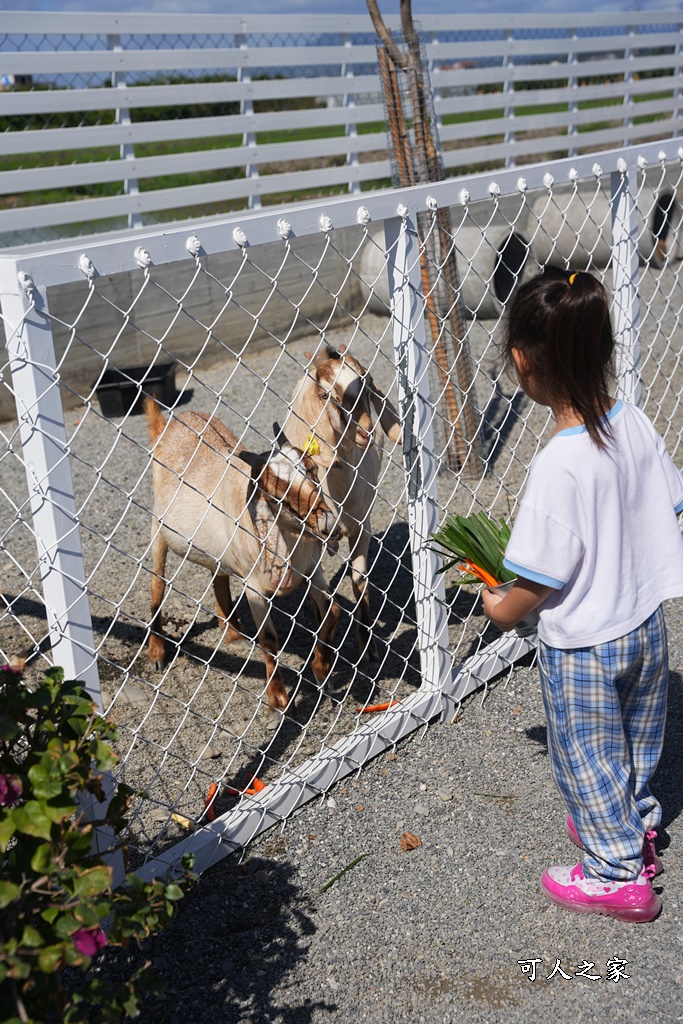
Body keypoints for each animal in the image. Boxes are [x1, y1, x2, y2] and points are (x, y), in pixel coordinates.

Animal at [146, 399, 344, 712]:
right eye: (275, 495)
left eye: (312, 469)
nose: (329, 527)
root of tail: (168, 424)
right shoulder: (254, 587)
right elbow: (269, 639)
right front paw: (278, 701)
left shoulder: (312, 569)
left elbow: (333, 610)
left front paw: (322, 669)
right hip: (157, 529)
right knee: (157, 582)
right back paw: (156, 652)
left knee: (218, 576)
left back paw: (233, 634)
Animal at [282, 346, 401, 663]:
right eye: (325, 395)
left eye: (366, 382)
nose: (366, 431)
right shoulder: (312, 539)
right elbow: (320, 595)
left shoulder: (363, 527)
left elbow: (360, 583)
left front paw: (368, 647)